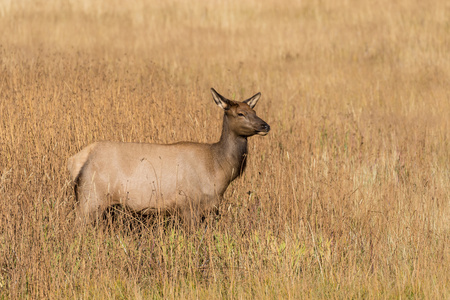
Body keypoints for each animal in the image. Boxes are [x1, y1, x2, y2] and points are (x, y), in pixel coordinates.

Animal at [67, 88, 270, 225]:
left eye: (255, 111)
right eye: (240, 113)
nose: (265, 126)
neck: (219, 169)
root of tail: (76, 161)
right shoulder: (189, 206)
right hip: (90, 198)